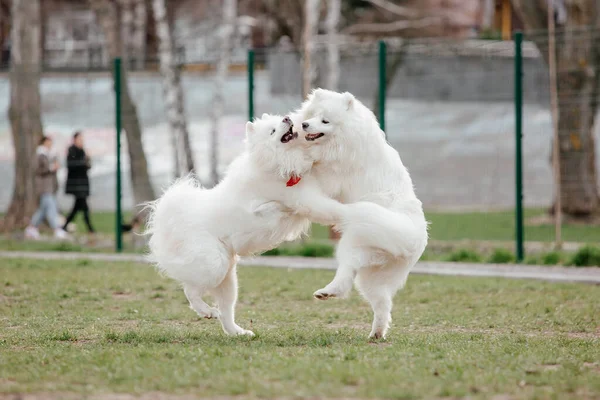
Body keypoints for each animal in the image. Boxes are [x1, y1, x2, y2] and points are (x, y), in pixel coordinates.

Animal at [294, 89, 426, 340]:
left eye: (325, 121)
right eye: (313, 115)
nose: (305, 125)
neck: (345, 139)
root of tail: (410, 239)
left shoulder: (332, 175)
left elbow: (316, 170)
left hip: (353, 247)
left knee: (346, 274)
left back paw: (328, 291)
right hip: (372, 279)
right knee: (383, 304)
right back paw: (376, 333)